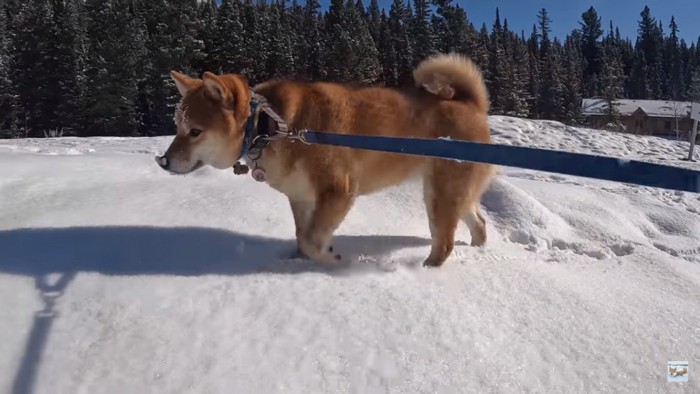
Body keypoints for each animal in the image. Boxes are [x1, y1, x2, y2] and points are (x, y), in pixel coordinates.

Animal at [157, 52, 498, 266]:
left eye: (195, 131)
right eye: (177, 126)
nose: (162, 161)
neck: (273, 126)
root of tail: (472, 104)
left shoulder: (338, 190)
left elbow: (312, 238)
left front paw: (330, 258)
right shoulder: (301, 197)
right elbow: (302, 235)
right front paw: (298, 261)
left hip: (440, 195)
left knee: (445, 241)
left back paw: (427, 268)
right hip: (449, 193)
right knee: (478, 221)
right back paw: (478, 249)